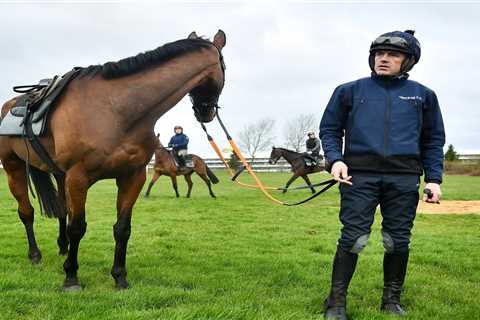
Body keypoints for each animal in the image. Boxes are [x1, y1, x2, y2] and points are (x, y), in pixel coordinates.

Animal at [0, 30, 227, 290]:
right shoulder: (78, 178)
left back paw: (63, 247)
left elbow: (122, 229)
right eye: (224, 67)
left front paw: (120, 276)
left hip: (59, 174)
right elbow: (77, 227)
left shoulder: (132, 177)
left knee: (62, 211)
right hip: (14, 168)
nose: (206, 113)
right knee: (26, 212)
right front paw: (71, 277)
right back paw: (35, 254)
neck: (116, 110)